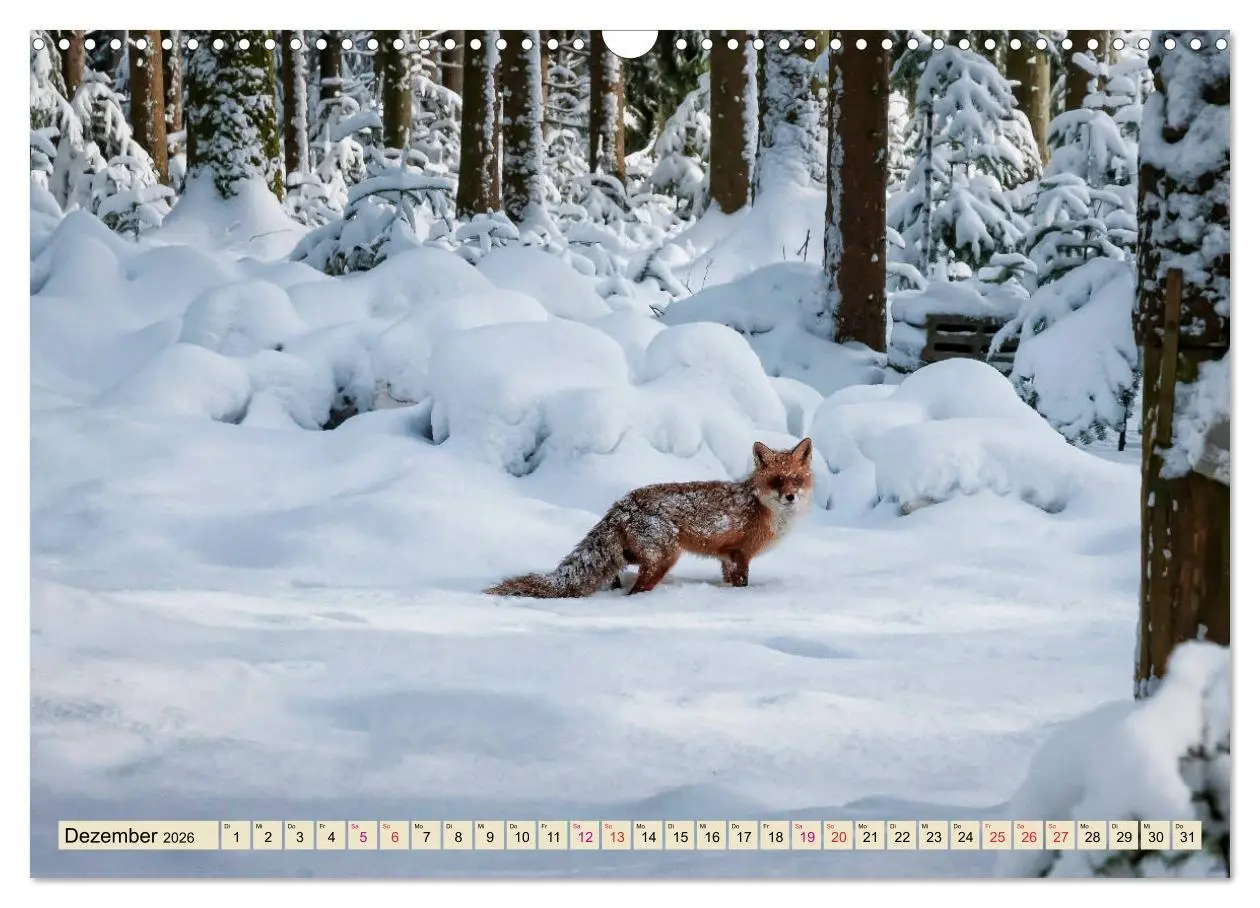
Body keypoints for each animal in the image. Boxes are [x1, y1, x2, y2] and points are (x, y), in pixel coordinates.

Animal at [484, 438, 814, 598]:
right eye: (776, 481)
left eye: (795, 480)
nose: (790, 497)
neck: (762, 509)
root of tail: (622, 504)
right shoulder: (739, 555)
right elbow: (741, 585)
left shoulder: (726, 557)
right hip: (664, 558)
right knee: (636, 590)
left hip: (635, 554)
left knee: (617, 571)